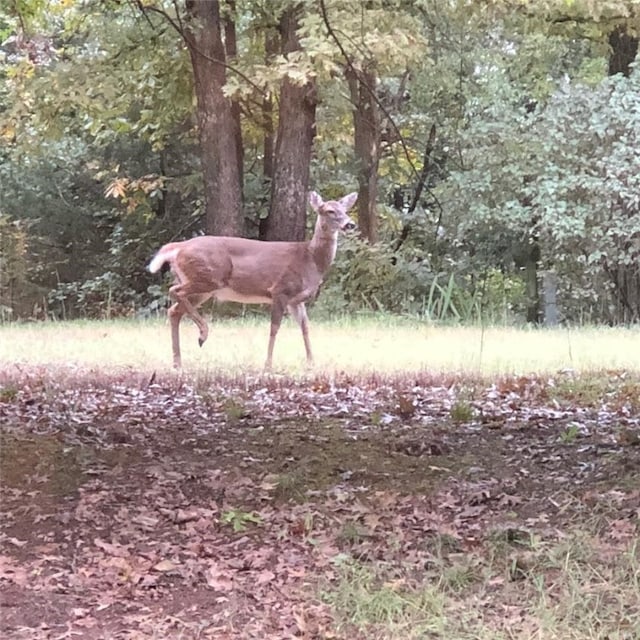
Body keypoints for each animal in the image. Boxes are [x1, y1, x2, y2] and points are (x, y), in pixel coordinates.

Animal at [148, 190, 358, 368]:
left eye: (345, 210)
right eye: (329, 210)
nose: (350, 224)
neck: (310, 258)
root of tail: (178, 248)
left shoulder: (296, 300)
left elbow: (305, 327)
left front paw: (311, 363)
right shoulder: (279, 289)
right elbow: (274, 327)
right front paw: (268, 365)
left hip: (203, 288)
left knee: (174, 311)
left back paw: (178, 362)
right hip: (209, 277)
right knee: (174, 292)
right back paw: (202, 334)